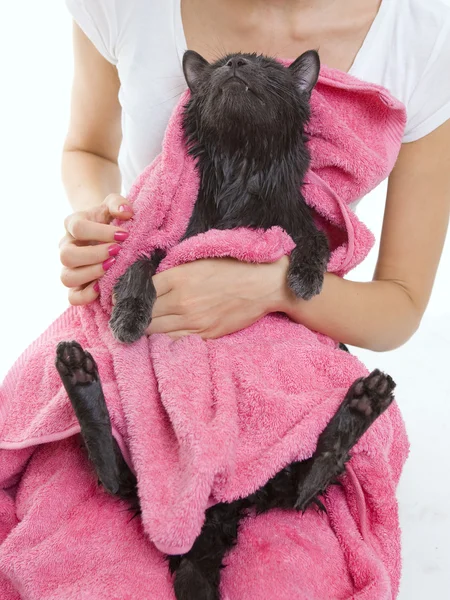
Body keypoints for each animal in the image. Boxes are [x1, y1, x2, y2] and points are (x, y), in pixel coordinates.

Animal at [54, 51, 396, 600]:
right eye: (219, 68)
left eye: (268, 69)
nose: (235, 61)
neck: (242, 172)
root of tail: (211, 517)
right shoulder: (175, 248)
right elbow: (139, 264)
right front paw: (128, 314)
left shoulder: (294, 224)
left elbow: (314, 240)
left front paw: (304, 277)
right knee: (116, 474)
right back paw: (78, 370)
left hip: (290, 468)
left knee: (305, 486)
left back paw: (367, 399)